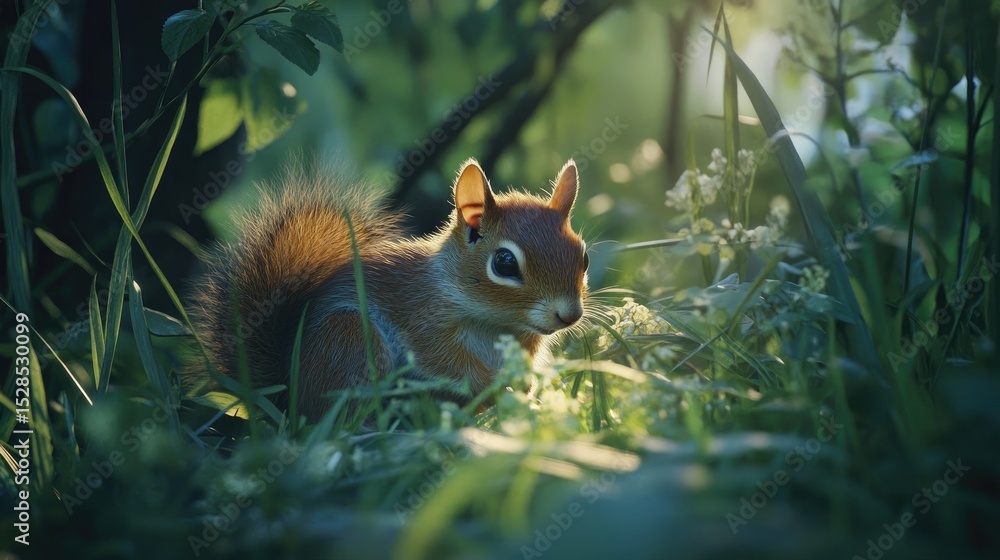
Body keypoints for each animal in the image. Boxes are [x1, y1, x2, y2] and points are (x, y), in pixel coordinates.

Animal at [191, 158, 589, 420]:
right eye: (504, 263)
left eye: (583, 255)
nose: (569, 315)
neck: (498, 323)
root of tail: (287, 399)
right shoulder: (423, 325)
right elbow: (449, 365)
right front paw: (494, 385)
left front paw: (525, 393)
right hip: (348, 338)